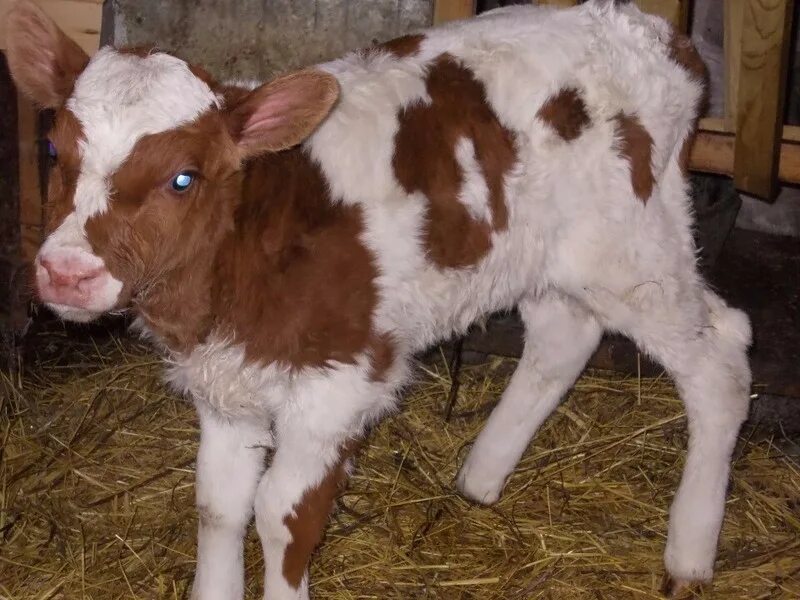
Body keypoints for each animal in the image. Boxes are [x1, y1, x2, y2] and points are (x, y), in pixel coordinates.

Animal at [9, 2, 752, 596]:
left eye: (183, 178)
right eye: (52, 149)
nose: (67, 271)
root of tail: (654, 33)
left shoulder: (339, 384)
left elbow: (281, 514)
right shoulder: (229, 383)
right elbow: (218, 505)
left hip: (634, 251)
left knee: (720, 356)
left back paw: (690, 554)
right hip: (538, 256)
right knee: (564, 334)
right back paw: (481, 476)